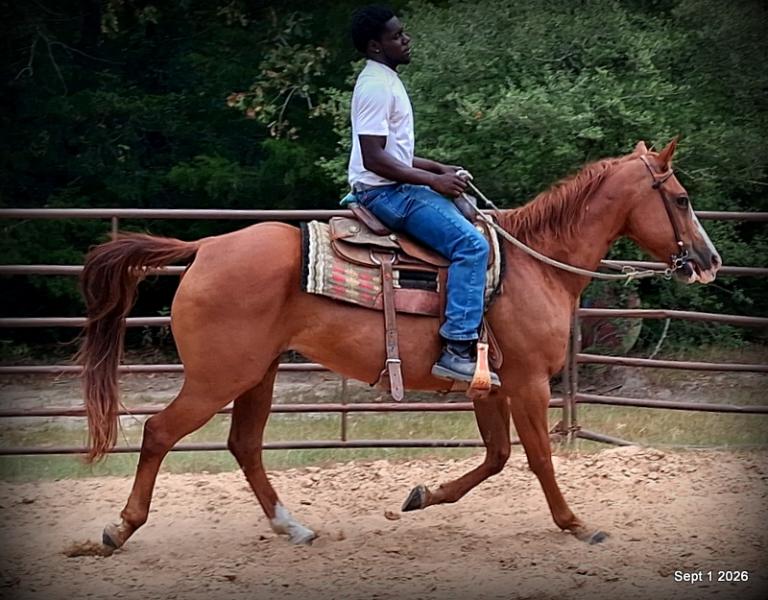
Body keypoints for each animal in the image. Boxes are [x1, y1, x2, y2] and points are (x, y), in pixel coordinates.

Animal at [77, 139, 721, 552]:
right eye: (682, 198)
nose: (709, 260)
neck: (535, 264)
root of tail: (206, 247)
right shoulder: (528, 382)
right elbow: (537, 458)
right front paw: (577, 524)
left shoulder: (490, 387)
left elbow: (497, 456)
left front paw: (420, 496)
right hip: (219, 376)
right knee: (160, 432)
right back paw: (118, 529)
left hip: (257, 373)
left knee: (245, 446)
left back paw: (293, 527)